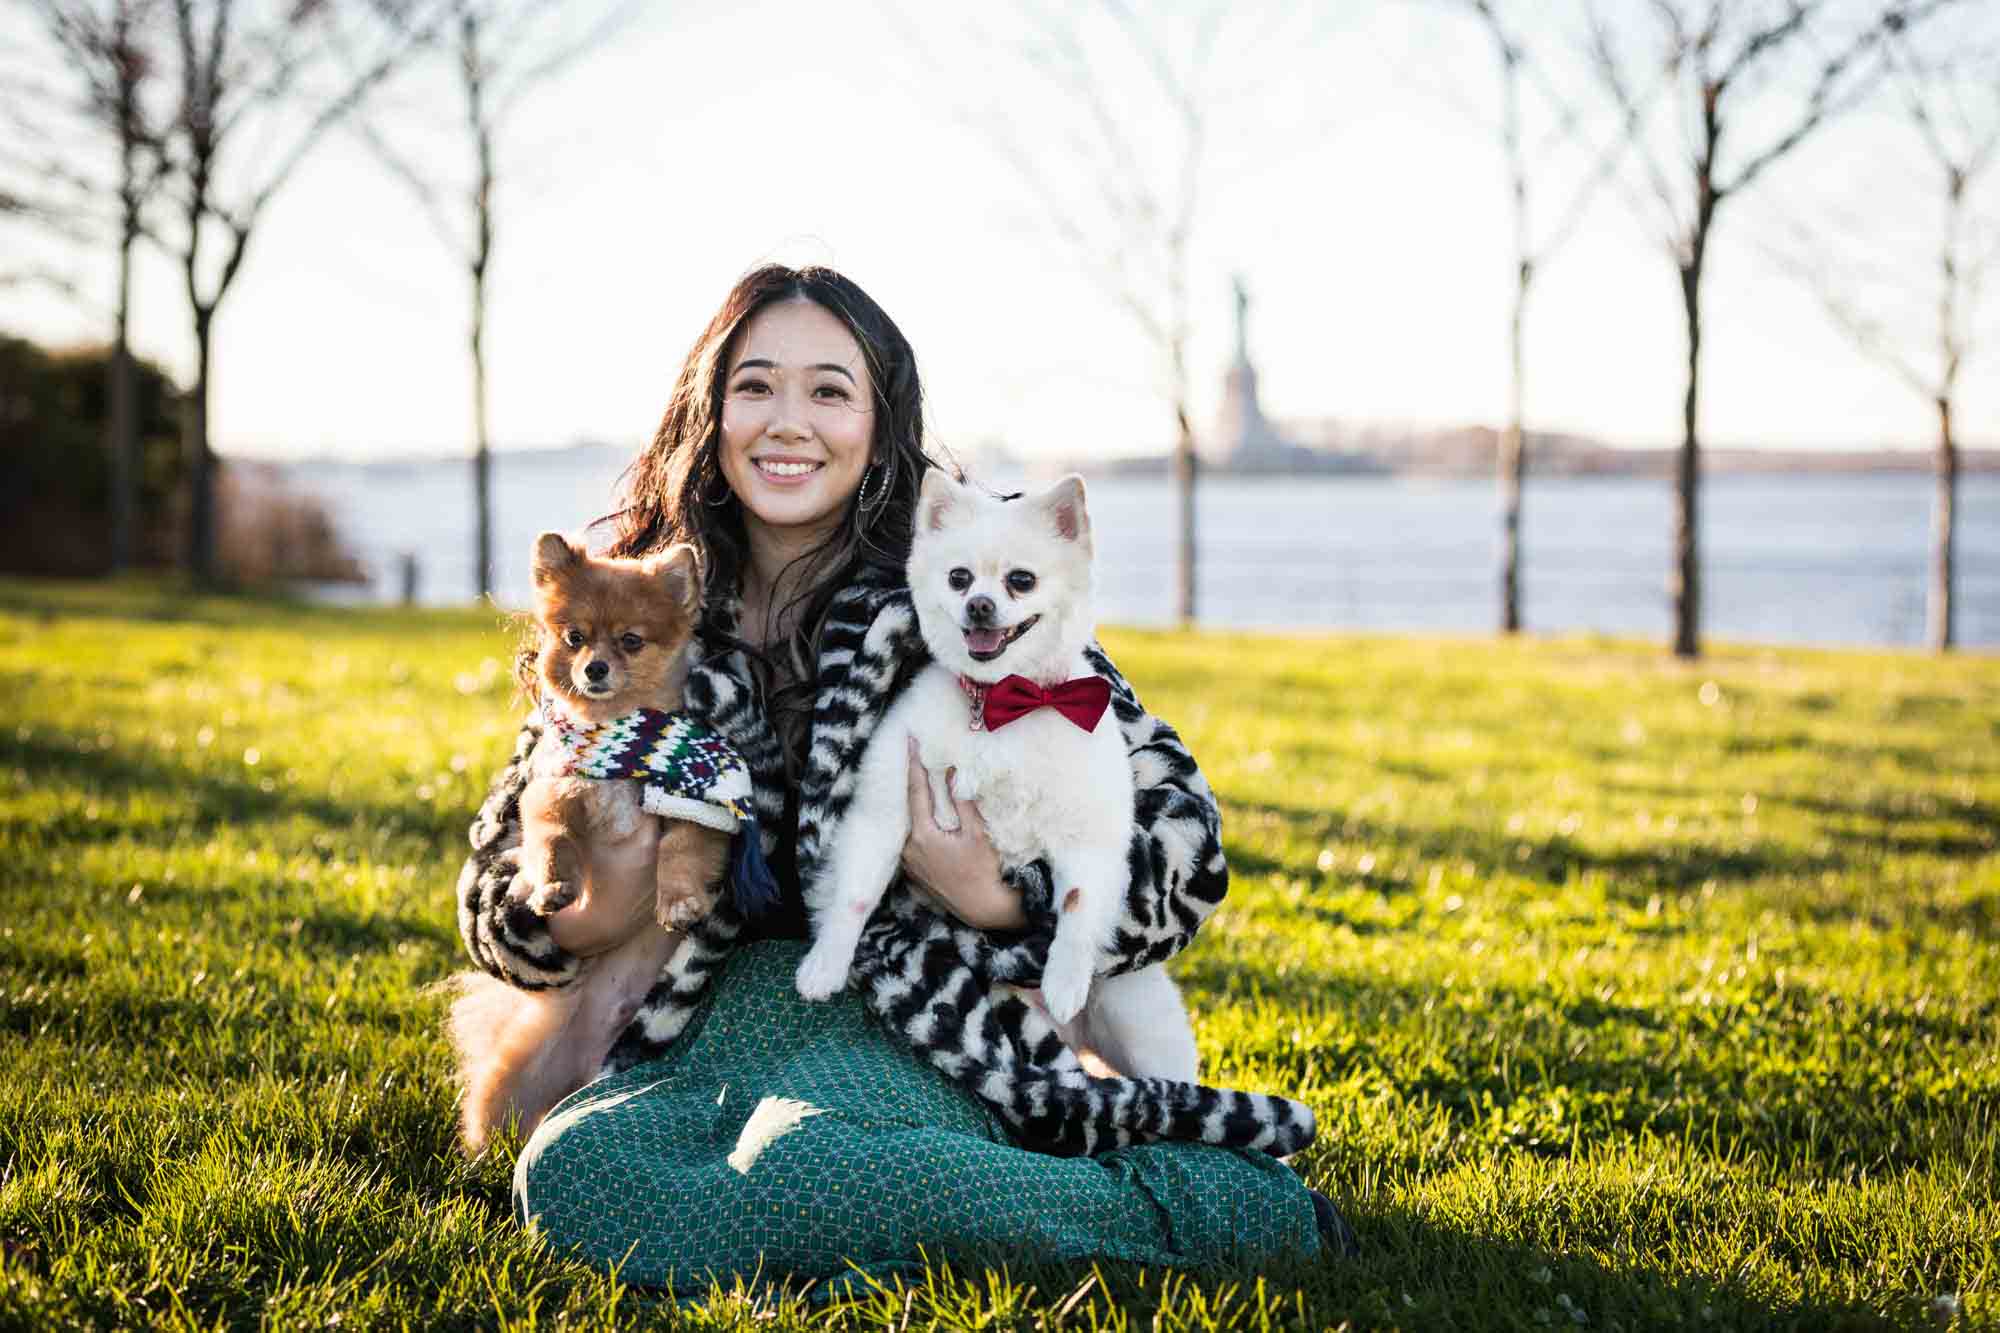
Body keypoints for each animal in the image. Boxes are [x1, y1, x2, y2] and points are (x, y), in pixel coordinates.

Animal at [450, 528, 732, 1152]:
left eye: (630, 640)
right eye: (574, 638)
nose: (596, 668)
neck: (618, 733)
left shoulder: (694, 804)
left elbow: (681, 853)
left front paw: (680, 901)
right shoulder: (549, 794)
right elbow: (555, 840)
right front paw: (555, 885)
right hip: (505, 1088)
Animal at [796, 466, 1200, 1080]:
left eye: (1021, 581)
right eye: (959, 578)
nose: (981, 605)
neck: (1002, 703)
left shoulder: (1091, 836)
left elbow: (1077, 904)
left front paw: (1065, 978)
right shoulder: (883, 811)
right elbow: (856, 895)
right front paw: (825, 964)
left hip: (1141, 1021)